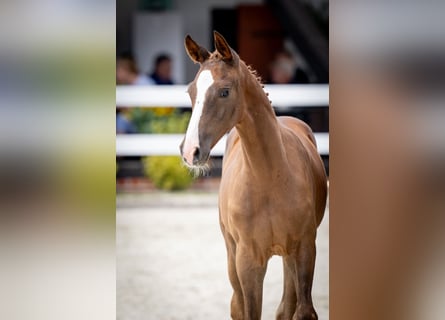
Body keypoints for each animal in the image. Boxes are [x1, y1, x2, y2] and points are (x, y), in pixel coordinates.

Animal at [179, 31, 328, 318]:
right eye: (191, 91)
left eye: (224, 91)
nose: (190, 151)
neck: (269, 178)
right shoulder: (247, 260)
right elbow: (249, 310)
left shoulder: (305, 248)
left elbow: (302, 310)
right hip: (232, 252)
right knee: (238, 304)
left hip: (288, 255)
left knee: (285, 306)